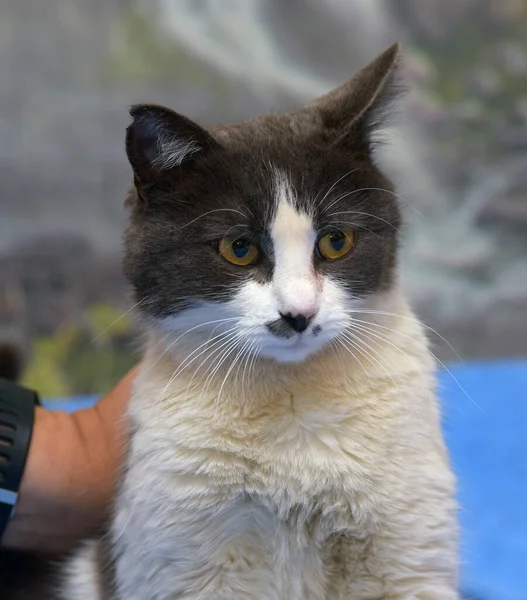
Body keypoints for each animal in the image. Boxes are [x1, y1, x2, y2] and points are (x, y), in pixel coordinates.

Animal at [55, 42, 460, 600]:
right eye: (239, 248)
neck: (291, 395)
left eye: (337, 241)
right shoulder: (179, 553)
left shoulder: (407, 545)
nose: (299, 313)